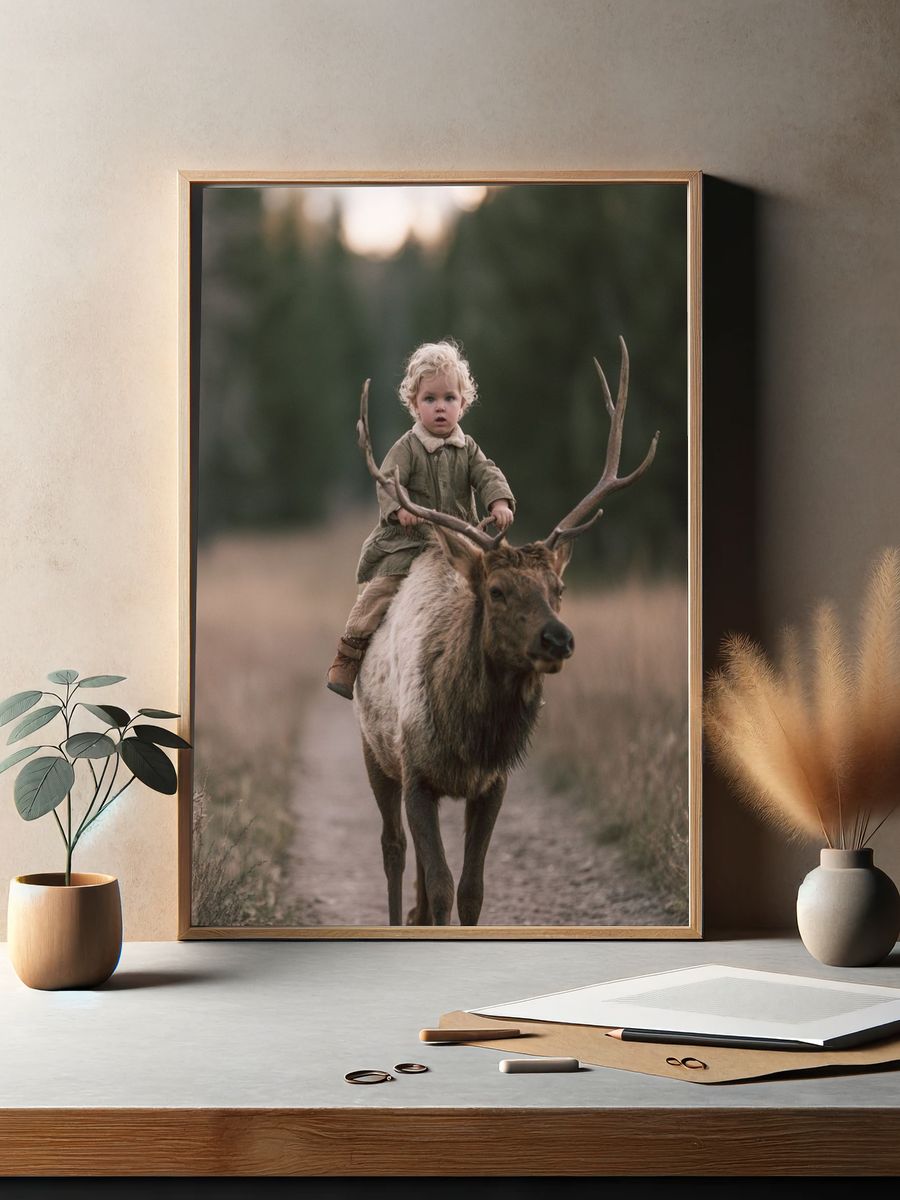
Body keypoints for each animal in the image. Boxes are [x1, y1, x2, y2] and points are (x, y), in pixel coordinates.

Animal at [353, 337, 658, 926]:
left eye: (559, 588)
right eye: (496, 591)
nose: (558, 639)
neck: (470, 735)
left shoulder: (492, 783)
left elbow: (470, 890)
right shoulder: (415, 771)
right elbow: (442, 887)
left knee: (418, 866)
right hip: (373, 749)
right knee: (393, 851)